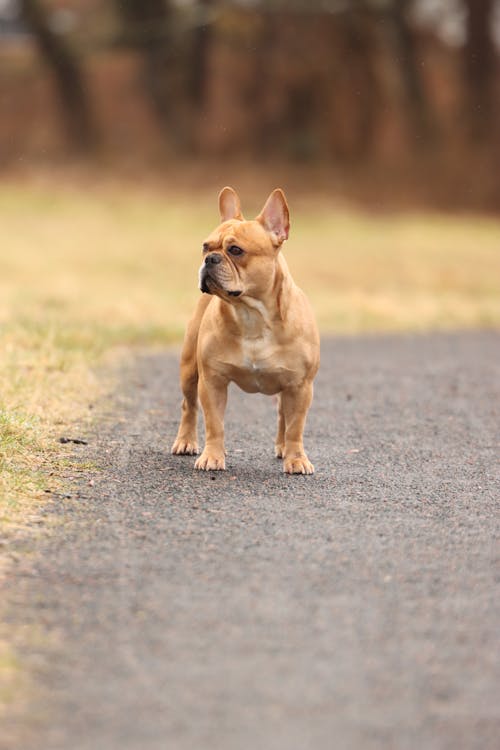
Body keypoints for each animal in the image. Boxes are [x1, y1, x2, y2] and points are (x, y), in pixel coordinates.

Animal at [172, 187, 320, 476]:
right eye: (205, 246)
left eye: (236, 250)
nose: (209, 259)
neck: (251, 315)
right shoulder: (212, 381)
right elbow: (214, 423)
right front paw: (212, 456)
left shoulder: (301, 386)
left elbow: (295, 427)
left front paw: (296, 459)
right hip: (189, 369)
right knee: (189, 406)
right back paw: (186, 441)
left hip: (287, 387)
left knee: (283, 415)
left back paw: (282, 448)